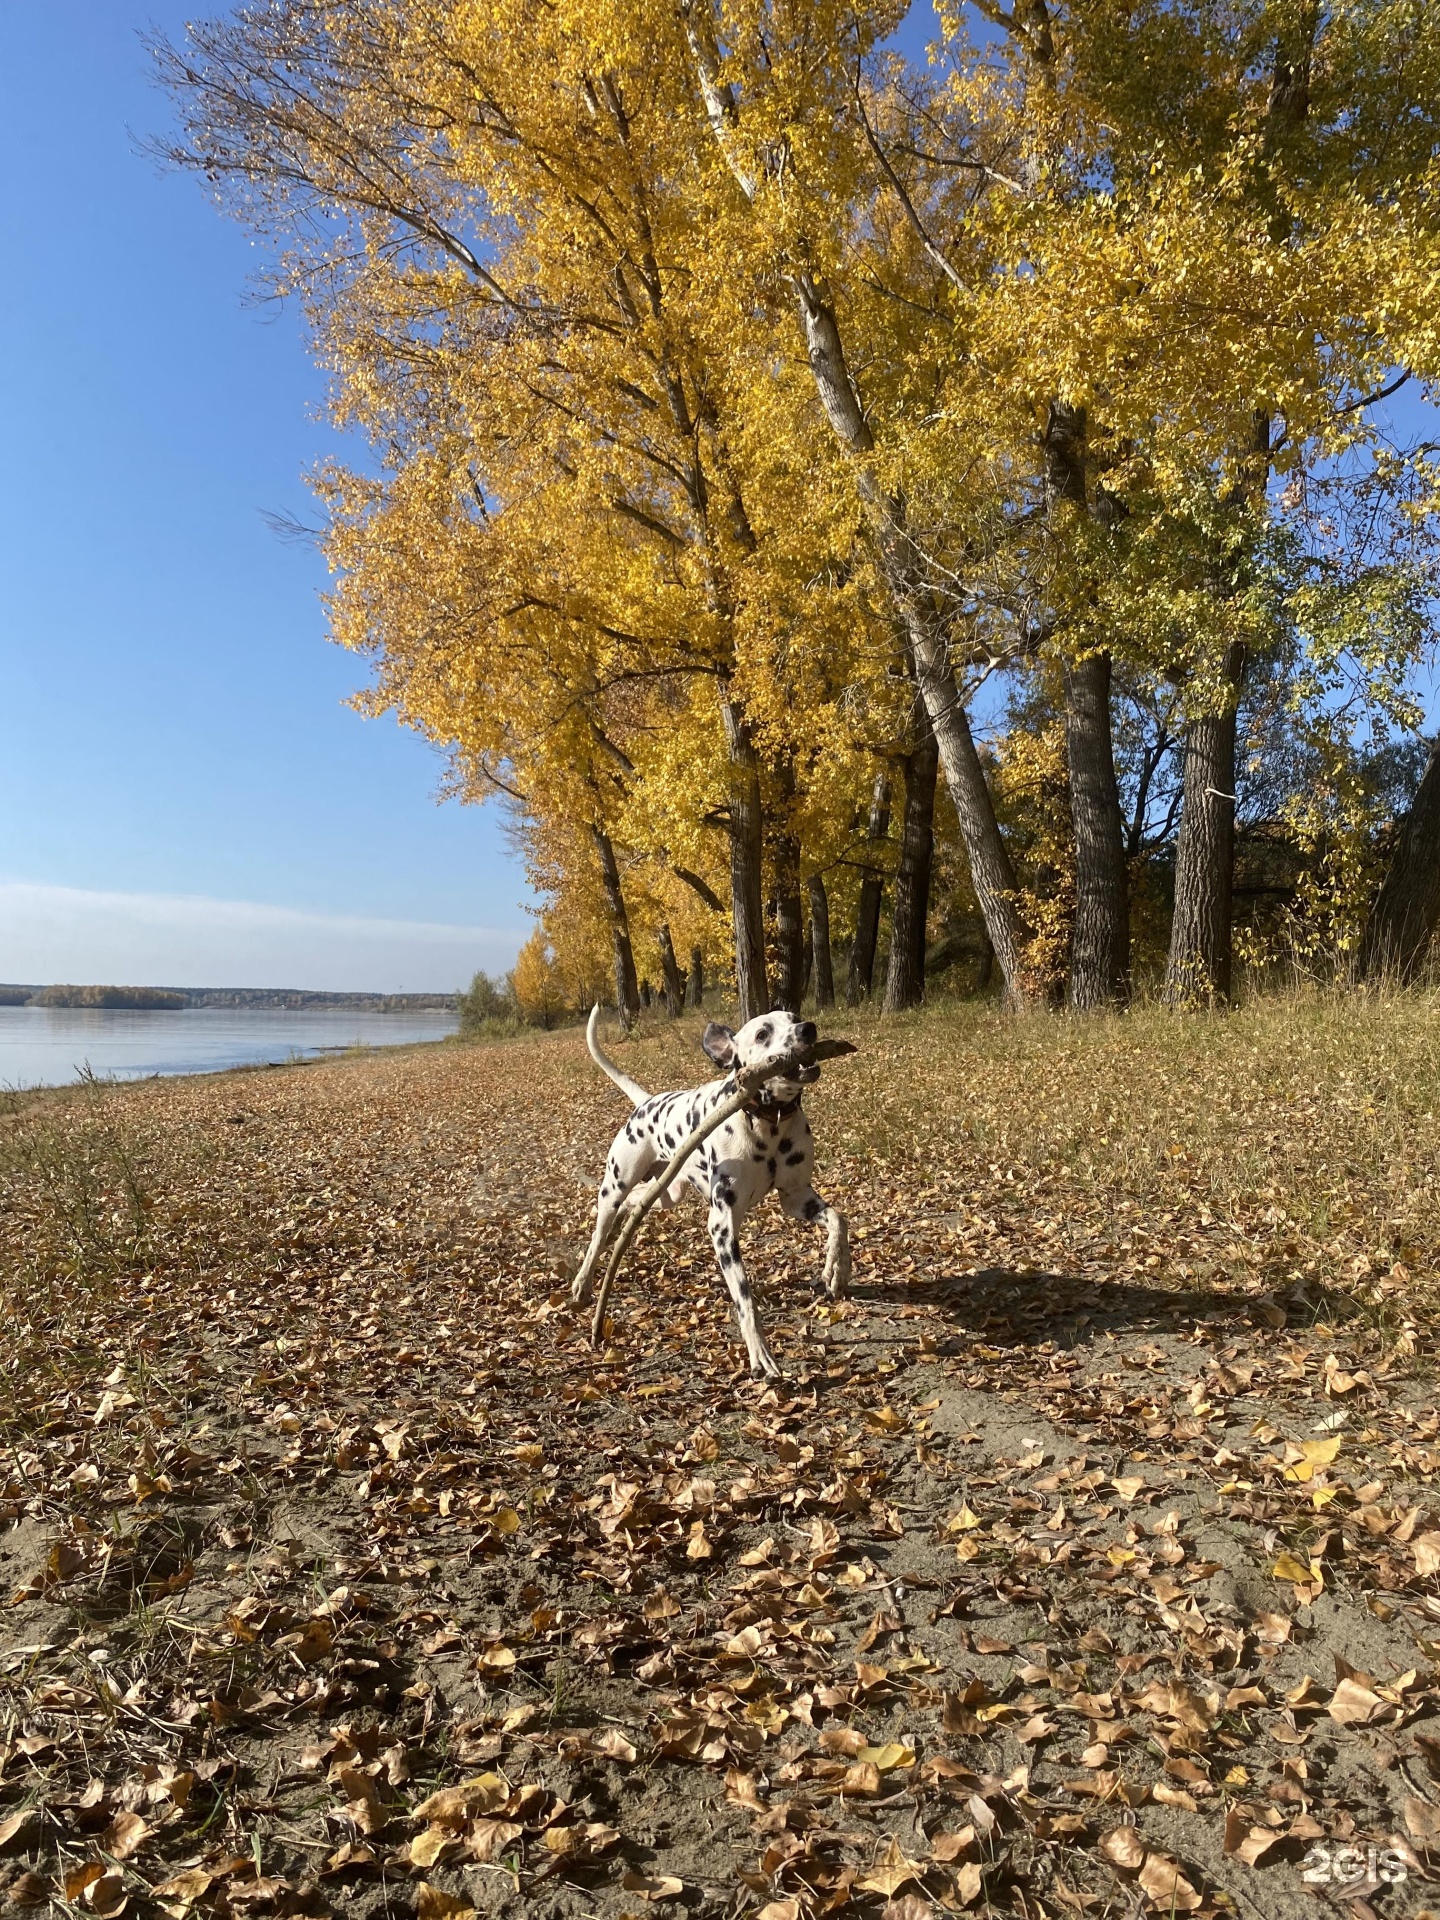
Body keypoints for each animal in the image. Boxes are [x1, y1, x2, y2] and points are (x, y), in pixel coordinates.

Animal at [568, 1006, 852, 1382]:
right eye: (762, 1033)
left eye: (793, 1017)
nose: (808, 1029)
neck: (768, 1125)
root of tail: (646, 1102)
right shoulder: (722, 1226)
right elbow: (745, 1299)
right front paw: (760, 1353)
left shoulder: (797, 1197)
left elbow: (838, 1220)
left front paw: (838, 1269)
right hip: (615, 1186)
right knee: (599, 1234)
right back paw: (583, 1281)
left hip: (667, 1193)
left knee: (637, 1202)